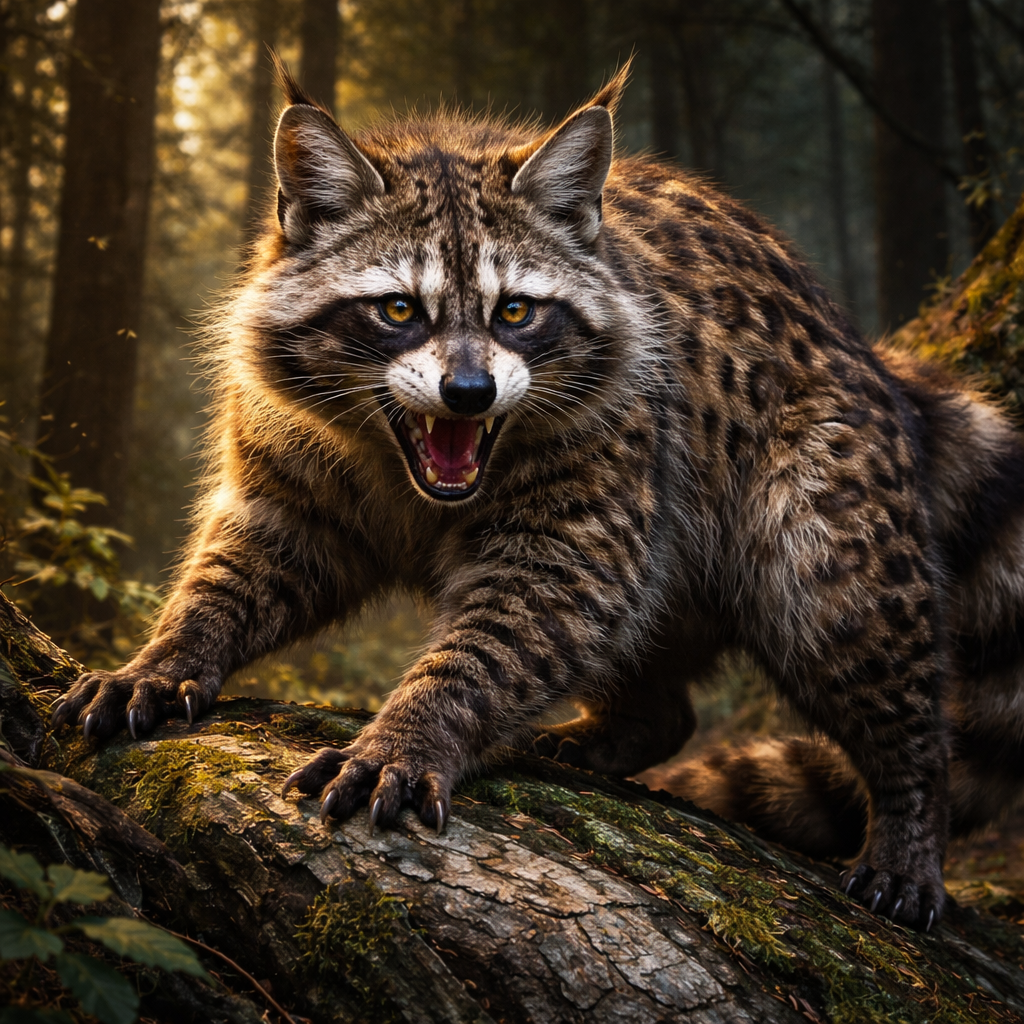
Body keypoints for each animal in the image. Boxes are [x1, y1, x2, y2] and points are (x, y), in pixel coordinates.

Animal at [52, 62, 1024, 933]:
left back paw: (908, 809)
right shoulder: (288, 462)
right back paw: (627, 724)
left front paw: (413, 727)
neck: (410, 466)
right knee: (666, 680)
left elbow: (527, 609)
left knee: (852, 625)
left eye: (516, 311)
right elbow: (251, 557)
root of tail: (866, 356)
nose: (469, 394)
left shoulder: (607, 461)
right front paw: (171, 650)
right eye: (398, 310)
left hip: (821, 497)